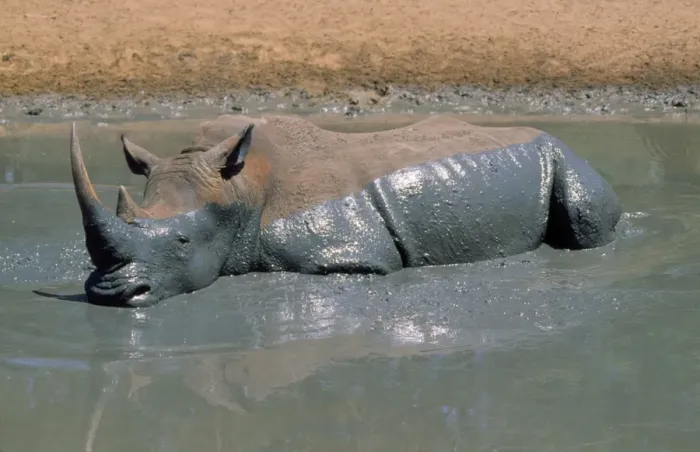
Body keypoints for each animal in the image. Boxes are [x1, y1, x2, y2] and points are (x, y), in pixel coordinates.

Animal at [69, 114, 622, 307]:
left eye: (183, 242)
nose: (109, 296)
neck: (241, 189)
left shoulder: (348, 253)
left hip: (563, 156)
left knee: (586, 223)